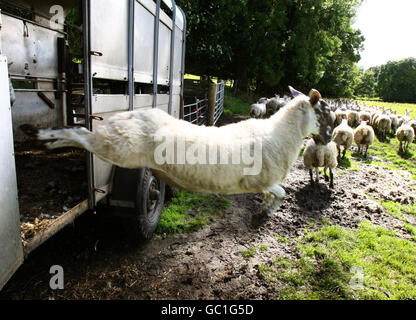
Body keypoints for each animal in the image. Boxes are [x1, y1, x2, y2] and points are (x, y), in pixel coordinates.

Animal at [20, 87, 334, 220]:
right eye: (324, 111)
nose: (328, 138)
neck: (280, 134)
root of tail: (129, 114)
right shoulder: (259, 180)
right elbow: (281, 192)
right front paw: (268, 210)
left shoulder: (265, 182)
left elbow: (277, 194)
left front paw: (266, 210)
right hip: (120, 147)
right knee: (81, 134)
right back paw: (39, 135)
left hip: (118, 143)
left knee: (82, 135)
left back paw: (42, 140)